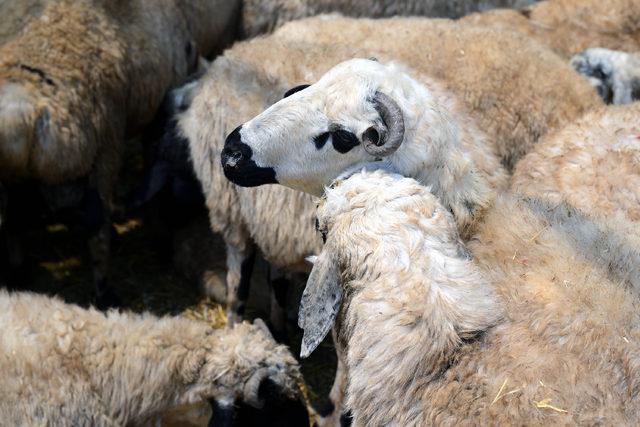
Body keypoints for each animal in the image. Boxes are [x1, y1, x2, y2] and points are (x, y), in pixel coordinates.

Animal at [0, 0, 238, 308]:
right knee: (96, 228)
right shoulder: (151, 118)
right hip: (103, 150)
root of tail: (23, 112)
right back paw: (105, 292)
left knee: (15, 218)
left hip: (22, 176)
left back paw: (17, 275)